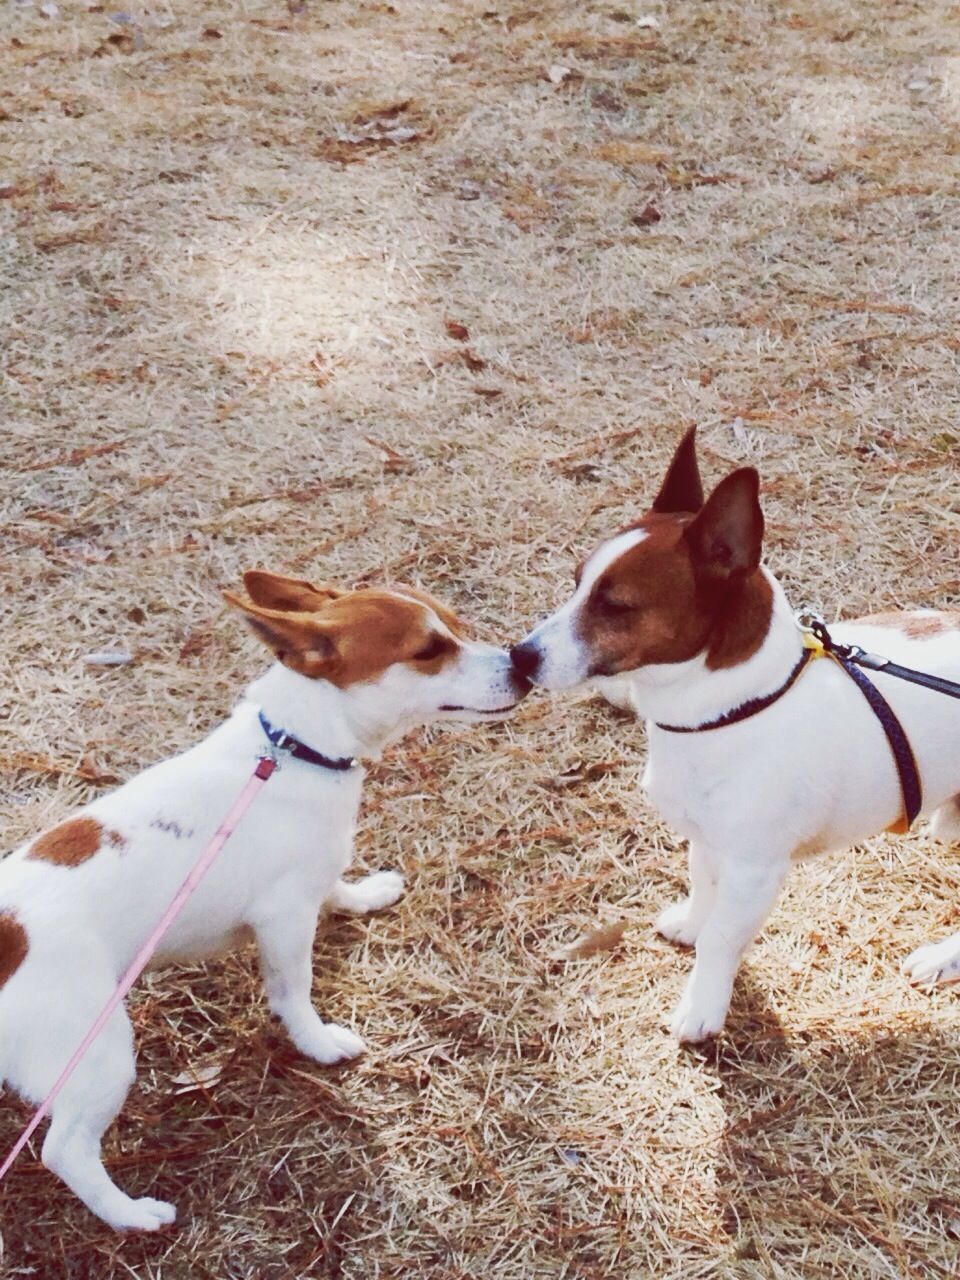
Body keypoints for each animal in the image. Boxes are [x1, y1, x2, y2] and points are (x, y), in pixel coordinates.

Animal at [0, 570, 529, 1228]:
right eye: (429, 650)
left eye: (455, 624)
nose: (523, 665)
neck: (295, 745)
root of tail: (7, 934)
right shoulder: (284, 920)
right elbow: (293, 992)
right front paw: (319, 1044)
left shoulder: (314, 875)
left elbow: (338, 886)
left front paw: (365, 895)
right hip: (97, 1054)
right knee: (64, 1150)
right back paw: (132, 1215)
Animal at [514, 427, 960, 1039]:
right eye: (576, 582)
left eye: (615, 606)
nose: (519, 656)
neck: (735, 708)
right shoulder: (708, 840)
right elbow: (703, 887)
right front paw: (690, 925)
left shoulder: (755, 870)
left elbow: (723, 940)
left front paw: (702, 1008)